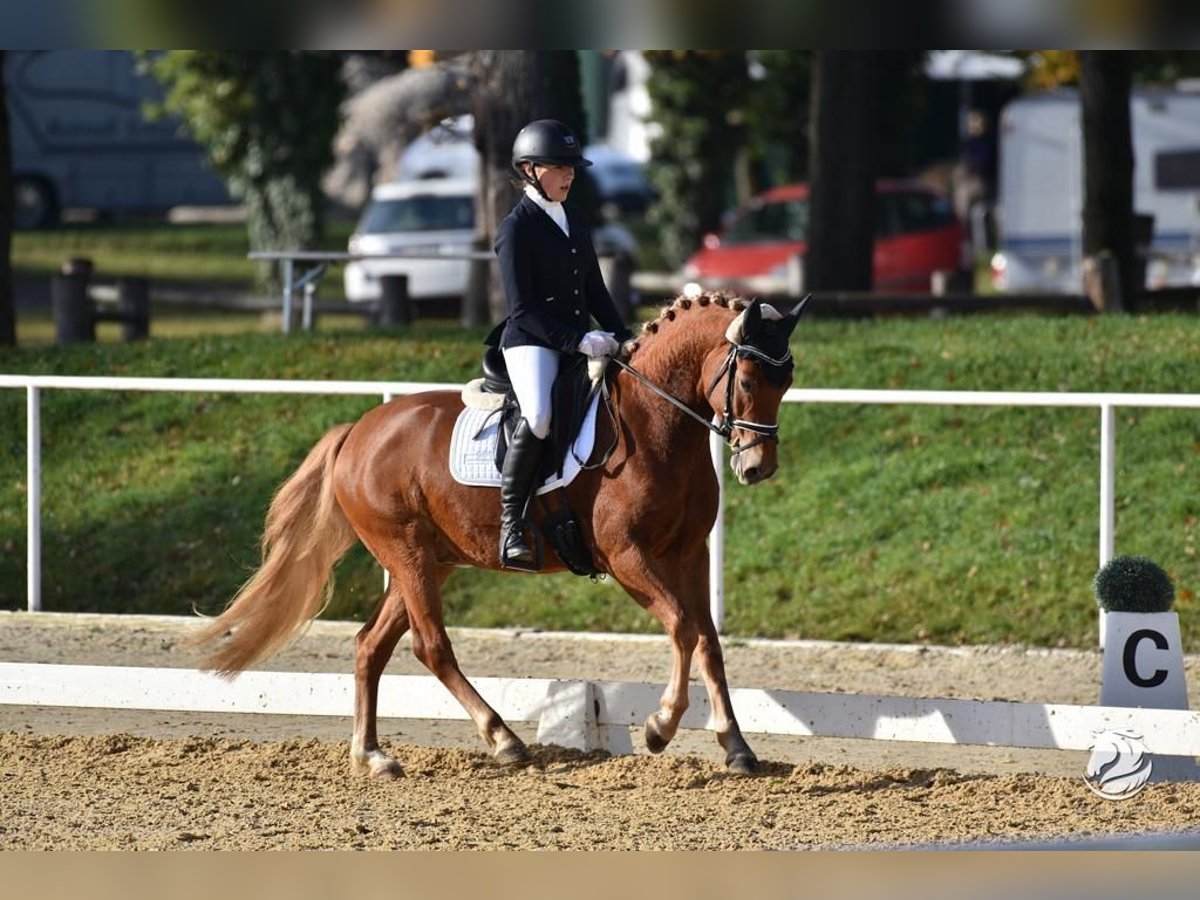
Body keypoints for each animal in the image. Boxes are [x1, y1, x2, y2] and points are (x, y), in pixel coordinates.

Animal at [192, 292, 806, 777]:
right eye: (747, 379)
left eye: (788, 380)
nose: (758, 468)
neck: (657, 423)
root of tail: (358, 430)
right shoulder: (627, 556)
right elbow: (681, 626)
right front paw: (659, 726)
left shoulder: (688, 554)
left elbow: (708, 640)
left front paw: (737, 748)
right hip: (408, 555)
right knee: (431, 646)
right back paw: (503, 739)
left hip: (429, 561)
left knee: (372, 645)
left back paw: (373, 756)